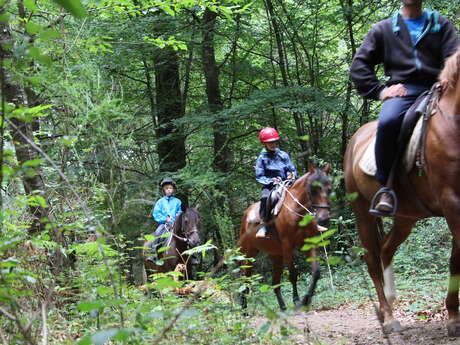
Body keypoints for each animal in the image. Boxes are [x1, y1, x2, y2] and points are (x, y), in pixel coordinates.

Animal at [237, 164, 330, 310]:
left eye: (329, 188)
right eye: (313, 189)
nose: (324, 218)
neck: (297, 211)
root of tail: (246, 214)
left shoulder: (308, 244)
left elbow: (316, 272)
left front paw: (306, 300)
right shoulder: (287, 247)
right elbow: (293, 274)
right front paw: (297, 301)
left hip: (275, 255)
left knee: (275, 283)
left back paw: (282, 307)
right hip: (248, 255)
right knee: (245, 279)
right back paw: (244, 309)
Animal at [344, 49, 460, 336]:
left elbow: (455, 260)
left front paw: (453, 317)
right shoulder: (452, 203)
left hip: (406, 217)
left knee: (386, 249)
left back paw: (391, 298)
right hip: (362, 213)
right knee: (372, 258)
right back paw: (388, 317)